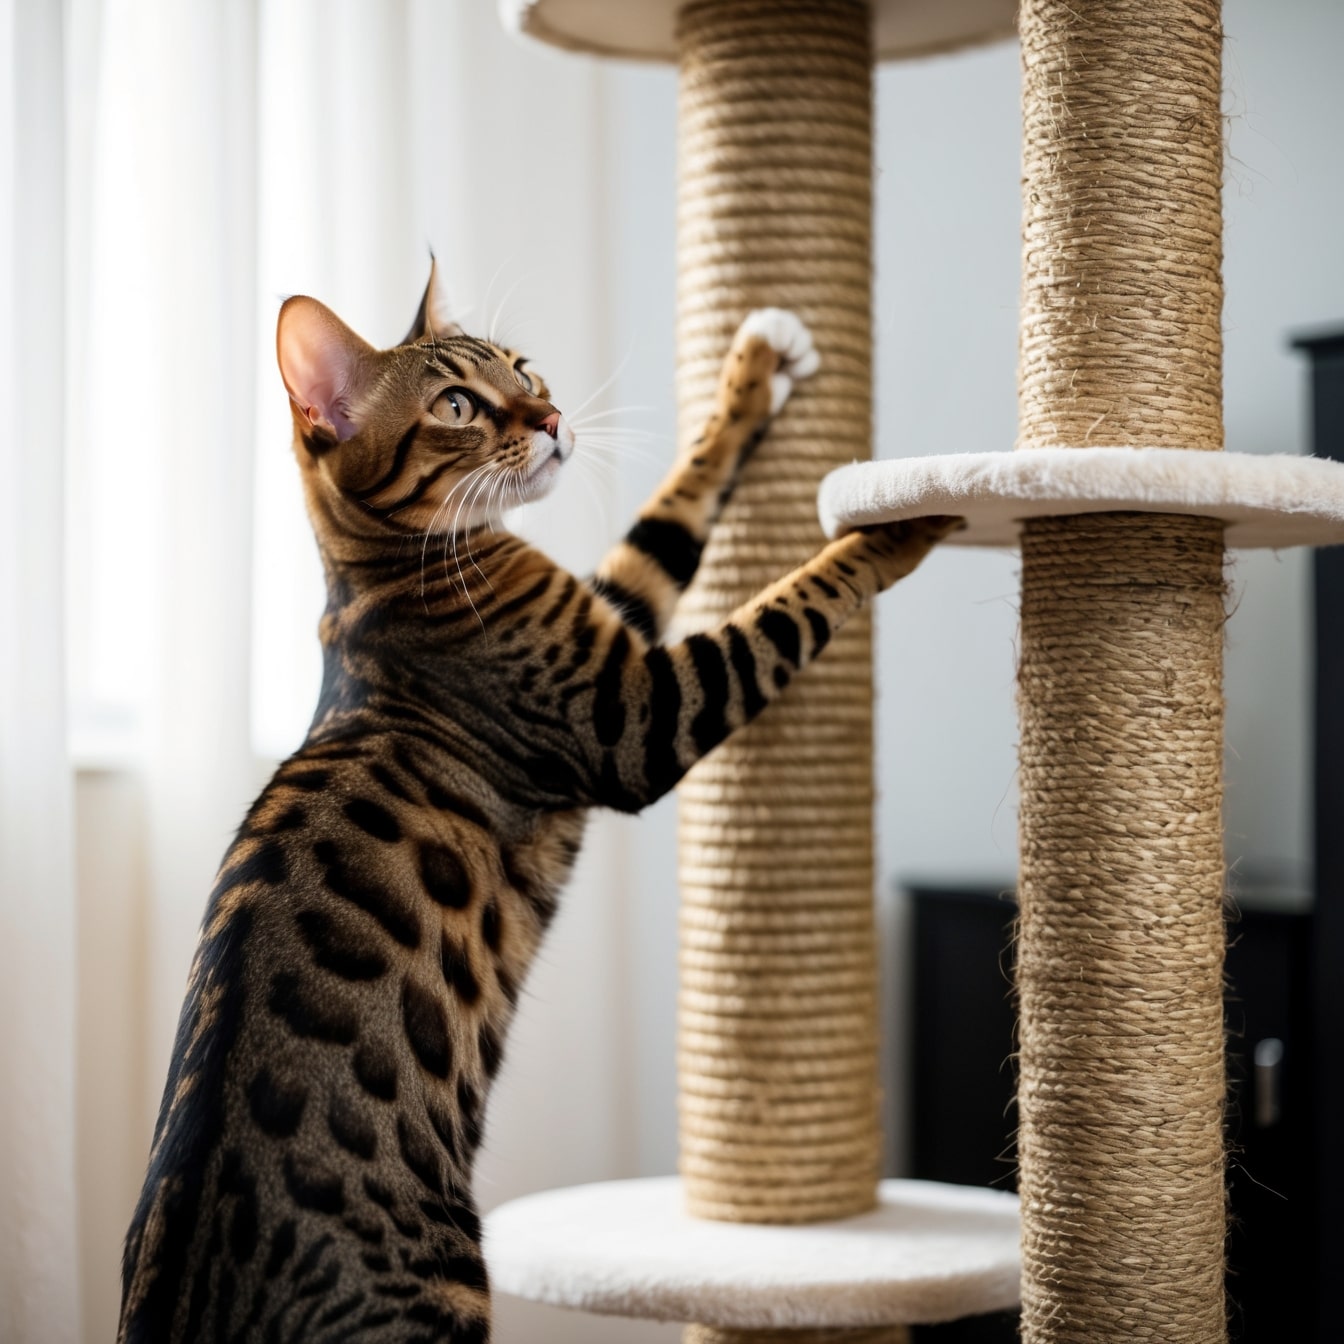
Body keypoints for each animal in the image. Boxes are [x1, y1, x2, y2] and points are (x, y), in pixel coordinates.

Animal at [115, 264, 956, 1344]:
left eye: (520, 368)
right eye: (457, 406)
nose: (552, 416)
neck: (381, 579)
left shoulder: (615, 617)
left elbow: (670, 516)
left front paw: (758, 365)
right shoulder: (636, 713)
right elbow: (785, 606)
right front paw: (899, 520)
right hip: (448, 1281)